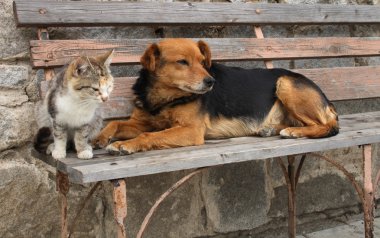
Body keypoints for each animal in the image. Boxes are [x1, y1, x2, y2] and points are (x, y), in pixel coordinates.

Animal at [93, 38, 340, 155]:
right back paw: (272, 129)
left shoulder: (191, 131)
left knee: (328, 126)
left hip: (286, 83)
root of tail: (327, 100)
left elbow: (149, 136)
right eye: (182, 62)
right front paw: (99, 138)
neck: (165, 98)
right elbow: (115, 123)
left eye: (203, 62)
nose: (211, 82)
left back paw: (294, 132)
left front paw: (127, 144)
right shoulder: (142, 121)